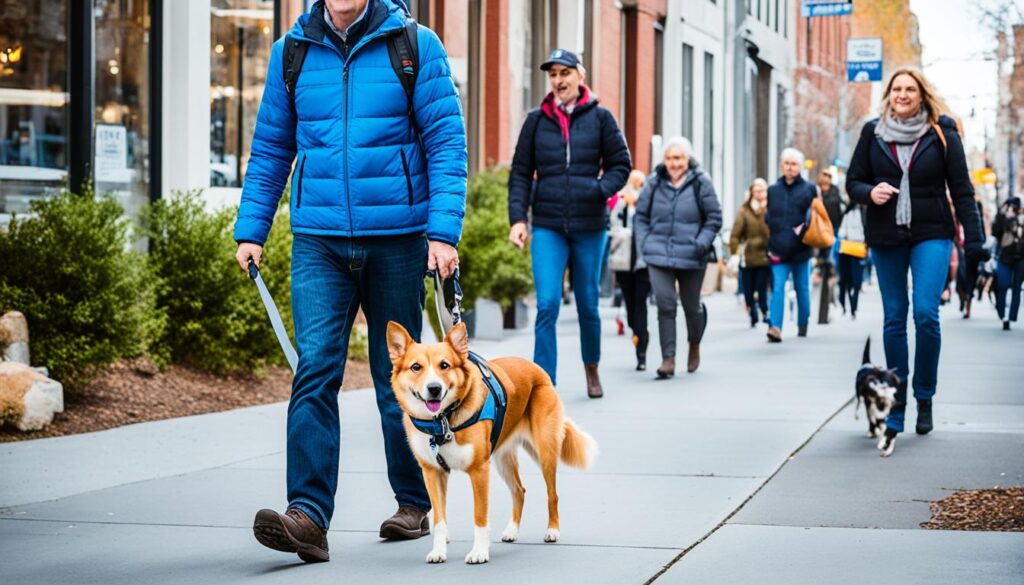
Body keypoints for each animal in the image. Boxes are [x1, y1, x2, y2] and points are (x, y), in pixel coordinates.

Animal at [385, 323, 598, 565]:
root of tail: (537, 368)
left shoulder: (479, 471)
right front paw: (439, 550)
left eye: (444, 365)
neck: (442, 421)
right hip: (503, 458)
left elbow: (480, 517)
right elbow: (439, 518)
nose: (434, 388)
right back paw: (512, 531)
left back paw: (552, 530)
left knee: (552, 494)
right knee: (519, 491)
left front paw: (479, 552)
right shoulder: (432, 472)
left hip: (545, 452)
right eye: (416, 367)